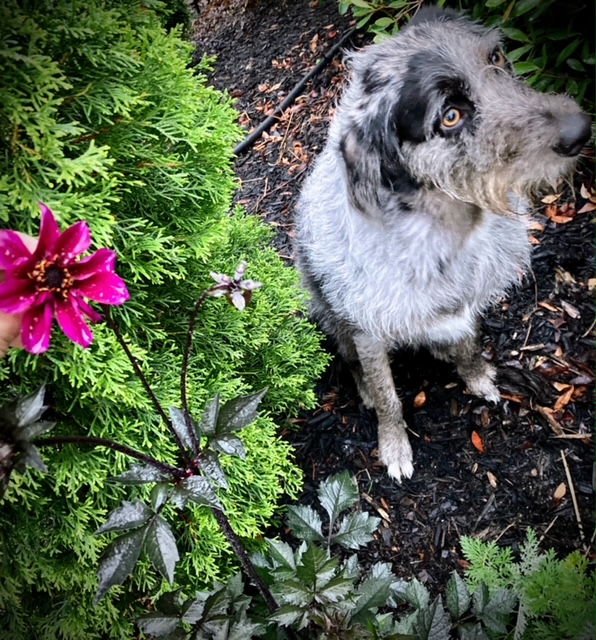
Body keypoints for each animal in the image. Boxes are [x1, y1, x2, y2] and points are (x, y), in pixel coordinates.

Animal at [294, 8, 592, 480]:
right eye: (450, 117)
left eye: (496, 58)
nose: (581, 130)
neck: (451, 226)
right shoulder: (368, 331)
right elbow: (387, 396)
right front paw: (394, 445)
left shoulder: (466, 302)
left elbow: (468, 343)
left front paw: (478, 376)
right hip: (329, 311)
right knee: (351, 358)